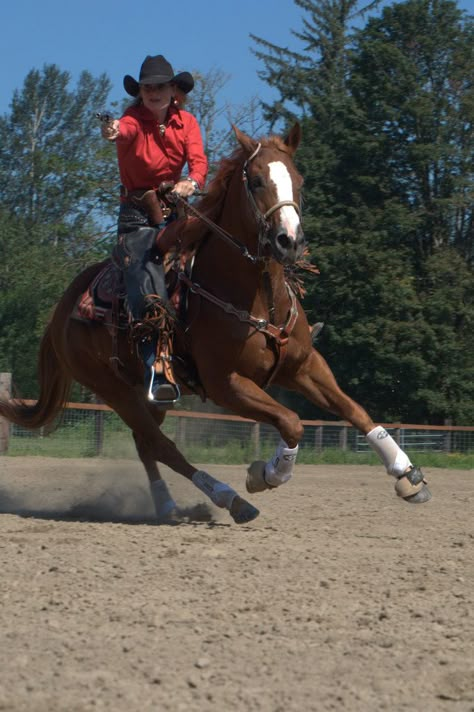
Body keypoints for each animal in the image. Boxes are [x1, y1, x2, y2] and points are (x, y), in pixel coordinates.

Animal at [0, 122, 430, 524]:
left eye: (299, 180)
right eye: (256, 180)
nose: (289, 241)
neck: (256, 298)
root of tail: (61, 310)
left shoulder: (304, 366)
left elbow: (355, 410)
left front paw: (407, 474)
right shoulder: (227, 385)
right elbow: (291, 423)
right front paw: (264, 474)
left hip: (151, 392)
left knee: (146, 444)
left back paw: (168, 505)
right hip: (113, 390)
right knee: (162, 446)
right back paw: (230, 499)